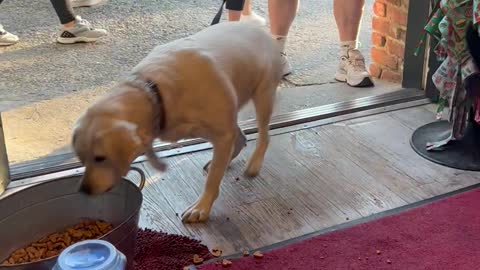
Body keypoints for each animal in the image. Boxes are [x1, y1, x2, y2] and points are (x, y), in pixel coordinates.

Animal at [72, 22, 284, 223]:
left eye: (100, 158)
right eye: (81, 158)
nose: (84, 190)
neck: (154, 92)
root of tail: (260, 29)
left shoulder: (222, 135)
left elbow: (213, 179)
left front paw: (202, 207)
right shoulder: (217, 131)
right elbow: (223, 158)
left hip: (263, 96)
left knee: (263, 135)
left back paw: (254, 163)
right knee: (241, 137)